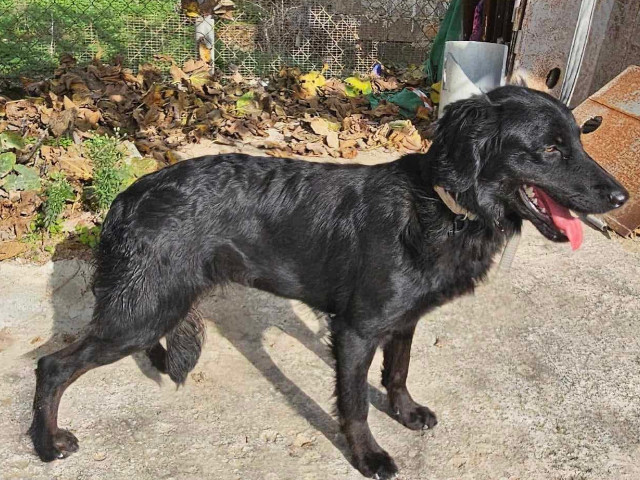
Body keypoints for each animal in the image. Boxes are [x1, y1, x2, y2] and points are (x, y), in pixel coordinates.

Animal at [29, 86, 628, 478]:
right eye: (550, 148)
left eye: (580, 139)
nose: (623, 198)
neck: (440, 207)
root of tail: (128, 195)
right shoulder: (357, 330)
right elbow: (354, 403)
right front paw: (369, 456)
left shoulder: (402, 321)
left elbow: (397, 373)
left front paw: (405, 413)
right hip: (143, 312)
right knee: (52, 365)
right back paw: (47, 444)